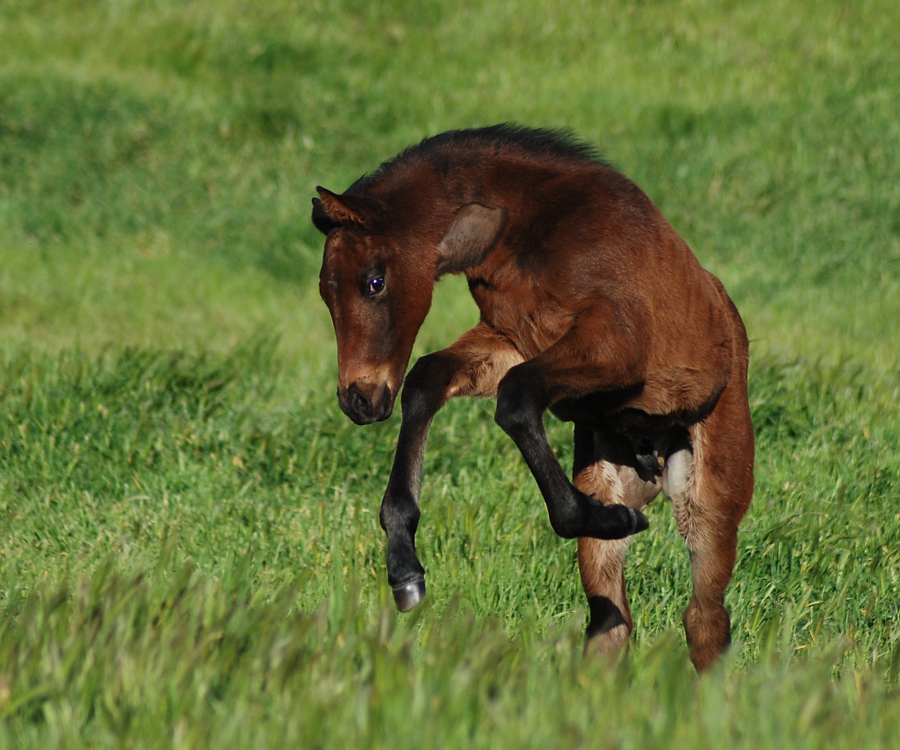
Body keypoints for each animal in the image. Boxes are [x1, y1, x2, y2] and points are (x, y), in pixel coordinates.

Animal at [314, 126, 752, 672]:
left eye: (374, 282)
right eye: (324, 291)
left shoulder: (619, 344)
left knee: (704, 620)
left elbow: (516, 398)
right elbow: (427, 379)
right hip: (604, 473)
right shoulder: (509, 340)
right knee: (610, 624)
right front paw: (404, 565)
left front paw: (601, 517)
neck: (529, 232)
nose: (359, 401)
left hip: (710, 500)